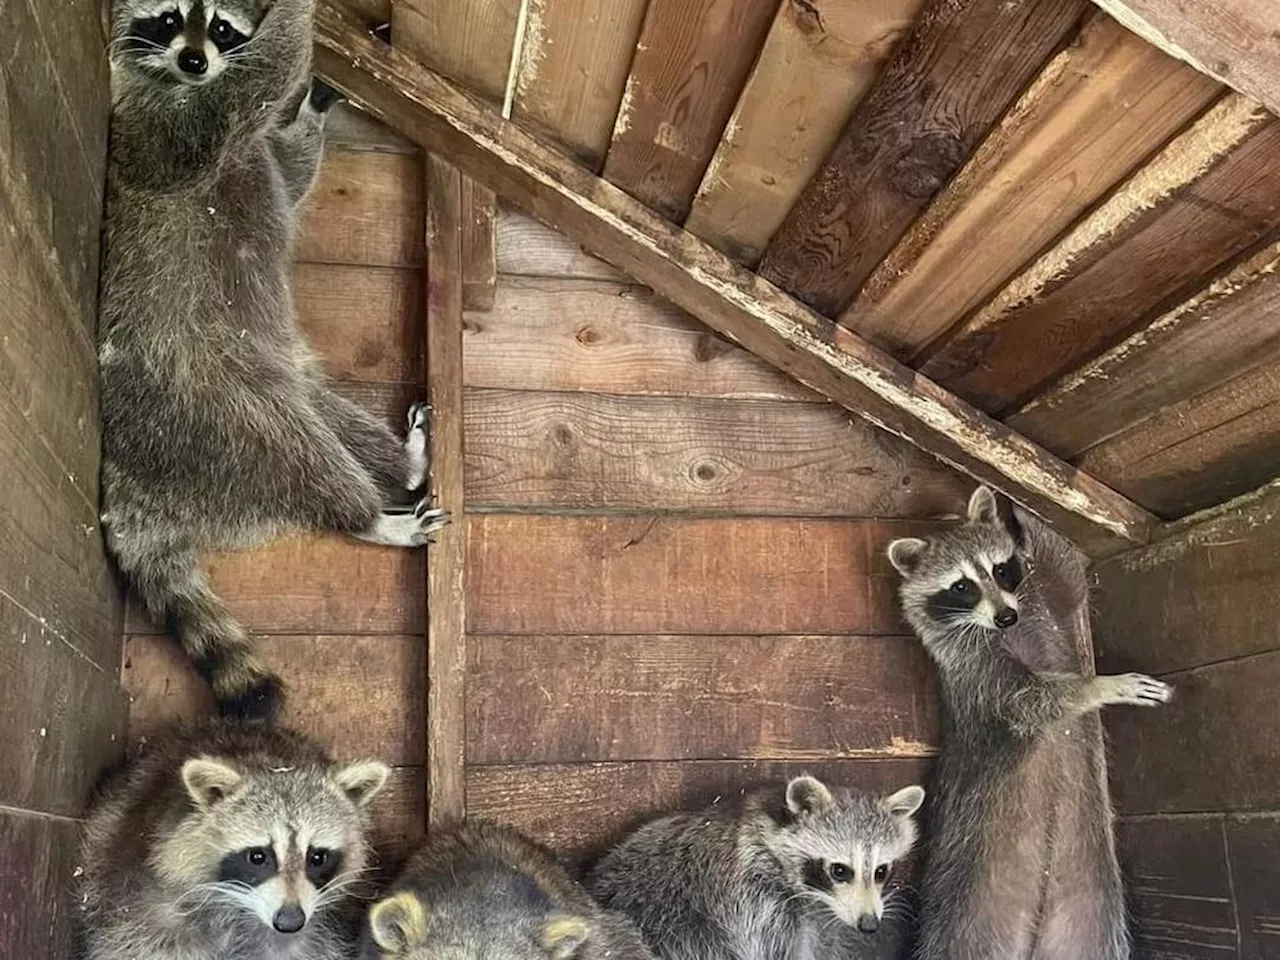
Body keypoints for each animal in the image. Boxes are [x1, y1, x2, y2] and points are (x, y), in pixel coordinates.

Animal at [98, 0, 445, 721]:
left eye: (221, 27)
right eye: (169, 18)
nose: (194, 60)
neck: (176, 79)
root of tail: (127, 485)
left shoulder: (244, 147)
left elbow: (289, 164)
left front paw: (309, 108)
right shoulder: (147, 131)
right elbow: (231, 107)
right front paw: (296, 18)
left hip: (267, 384)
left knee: (328, 419)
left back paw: (402, 463)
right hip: (204, 414)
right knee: (296, 458)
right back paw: (369, 519)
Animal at [890, 488, 1172, 960]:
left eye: (999, 569)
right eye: (961, 586)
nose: (1006, 617)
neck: (1005, 627)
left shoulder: (1047, 599)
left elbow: (1068, 571)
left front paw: (1021, 508)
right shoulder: (977, 676)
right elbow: (1033, 702)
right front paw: (1103, 686)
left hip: (1092, 914)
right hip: (967, 915)